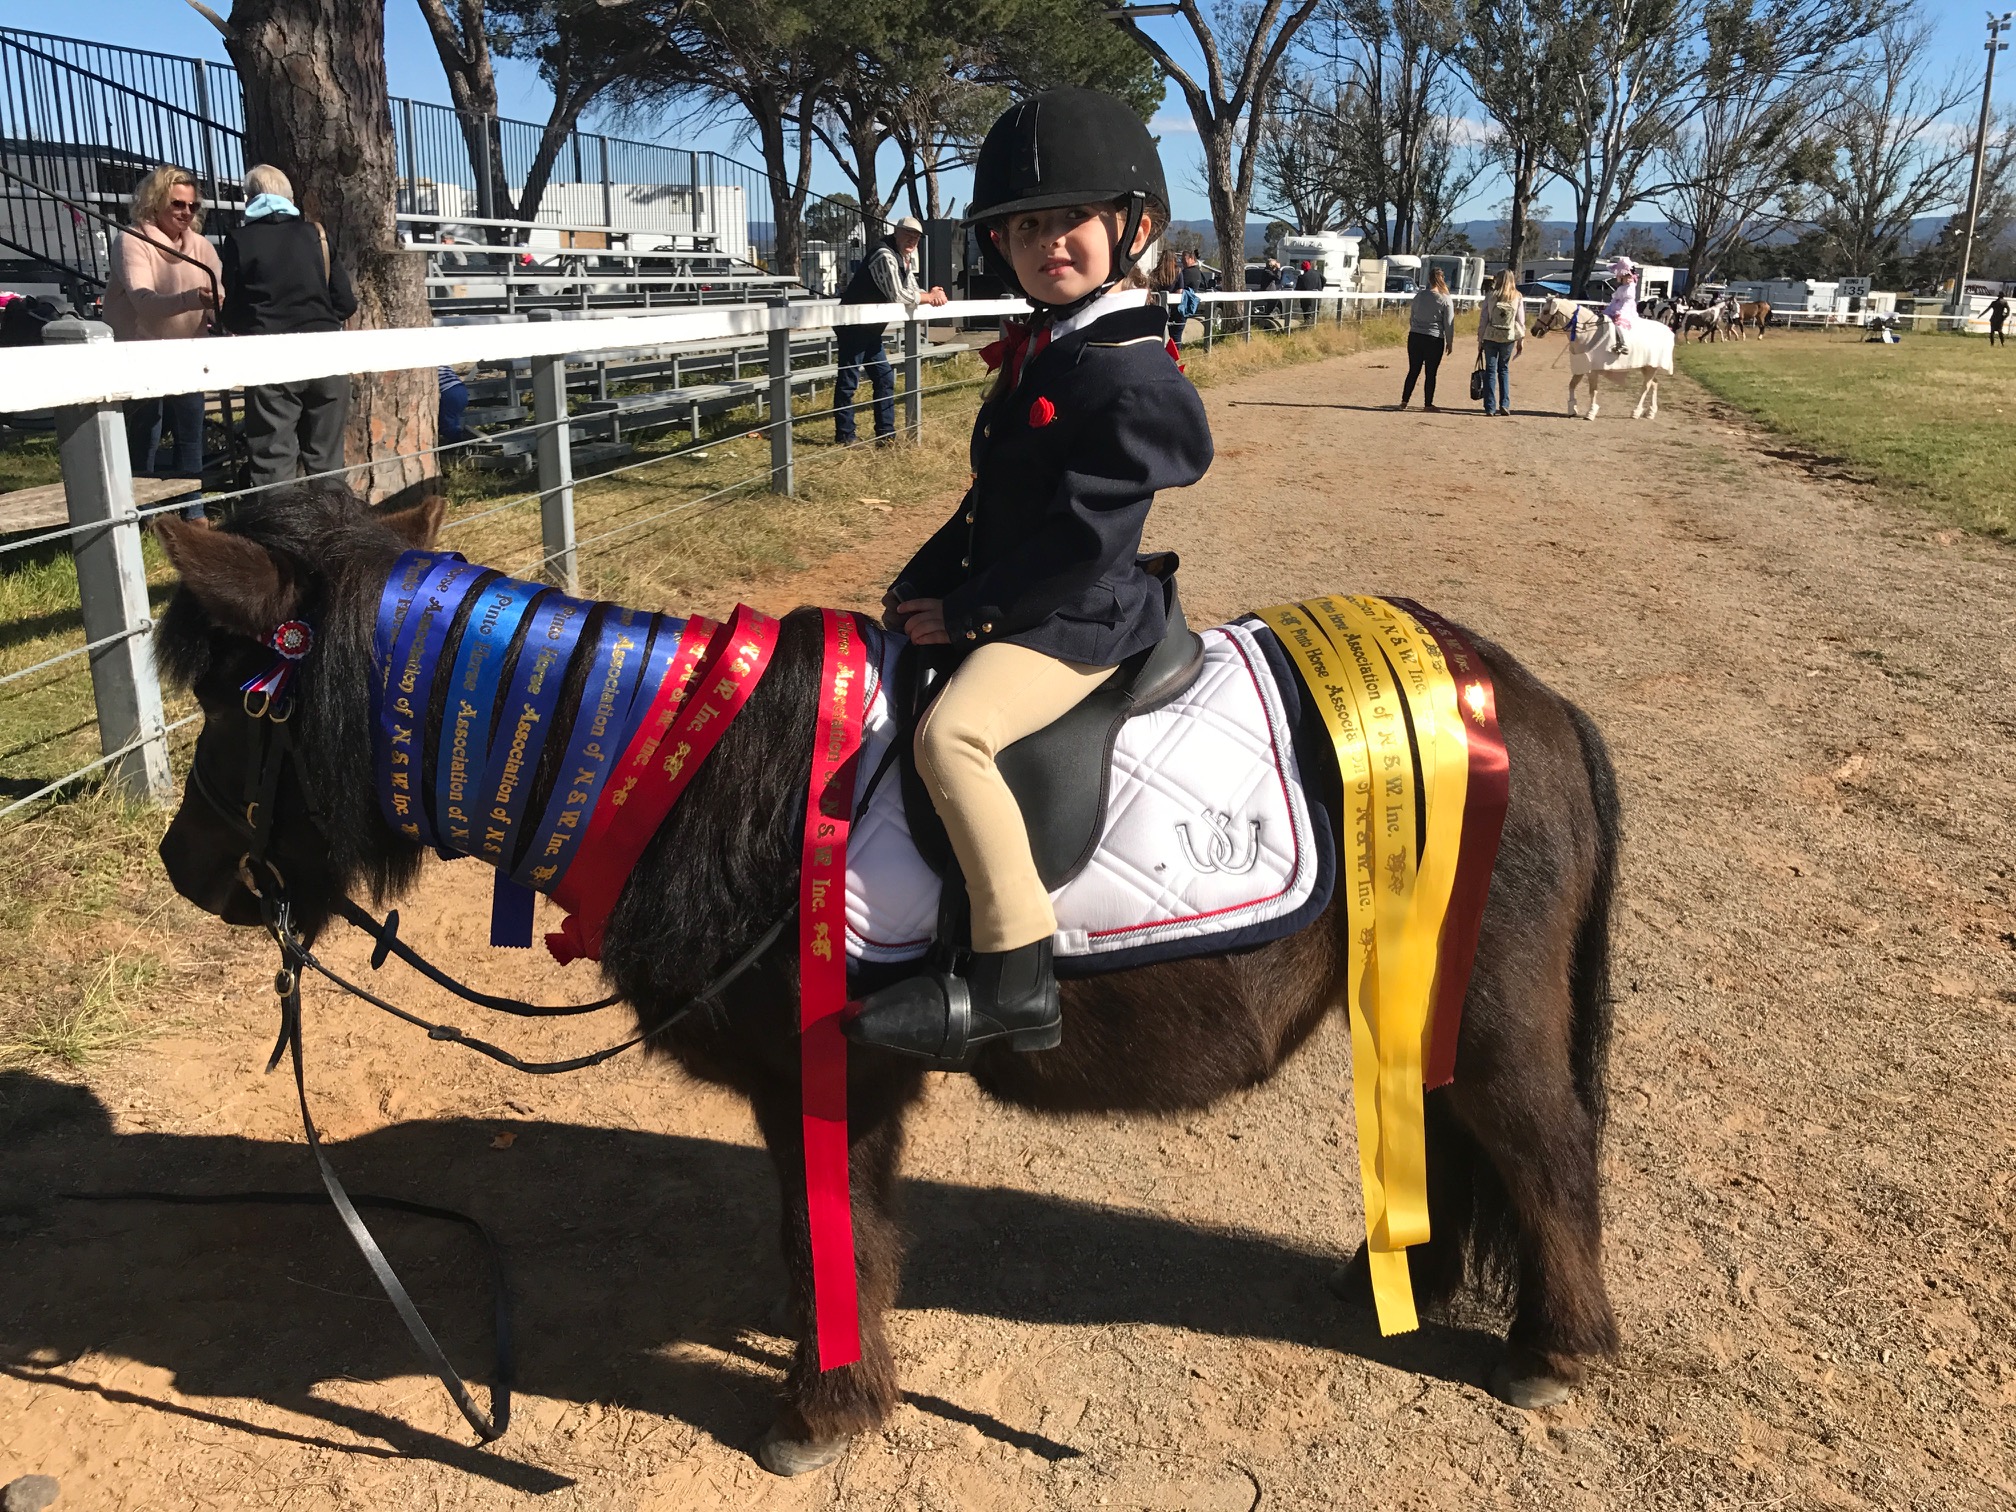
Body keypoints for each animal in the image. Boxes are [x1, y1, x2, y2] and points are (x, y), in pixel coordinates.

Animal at [149, 487, 1628, 1483]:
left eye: (237, 702)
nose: (183, 865)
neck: (688, 771)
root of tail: (1526, 701)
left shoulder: (829, 1081)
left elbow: (832, 1234)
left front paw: (823, 1408)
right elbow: (827, 1230)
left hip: (1483, 1009)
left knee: (1543, 1151)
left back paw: (1551, 1355)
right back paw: (1408, 1277)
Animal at [1532, 292, 1677, 421]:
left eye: (1546, 311)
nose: (1534, 331)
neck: (1588, 334)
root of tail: (1667, 329)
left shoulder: (1592, 371)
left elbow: (1593, 390)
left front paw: (1590, 413)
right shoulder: (1581, 367)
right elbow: (1572, 385)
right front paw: (1572, 409)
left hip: (1650, 367)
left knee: (1645, 387)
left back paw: (1636, 412)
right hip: (1647, 367)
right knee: (1654, 384)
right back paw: (1651, 412)